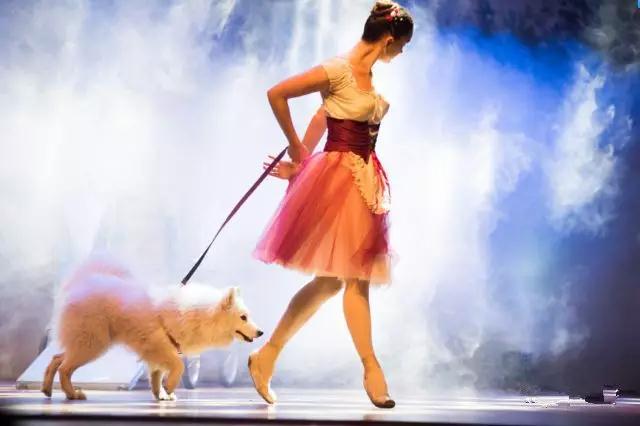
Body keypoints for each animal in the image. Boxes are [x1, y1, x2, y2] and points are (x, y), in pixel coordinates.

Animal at [41, 256, 262, 401]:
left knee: (57, 359)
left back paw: (47, 389)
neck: (198, 313)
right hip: (92, 344)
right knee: (64, 368)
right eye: (243, 317)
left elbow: (157, 376)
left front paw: (162, 395)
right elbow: (178, 366)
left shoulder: (161, 352)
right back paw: (72, 394)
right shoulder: (160, 347)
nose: (261, 332)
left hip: (85, 344)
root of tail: (81, 286)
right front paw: (170, 387)